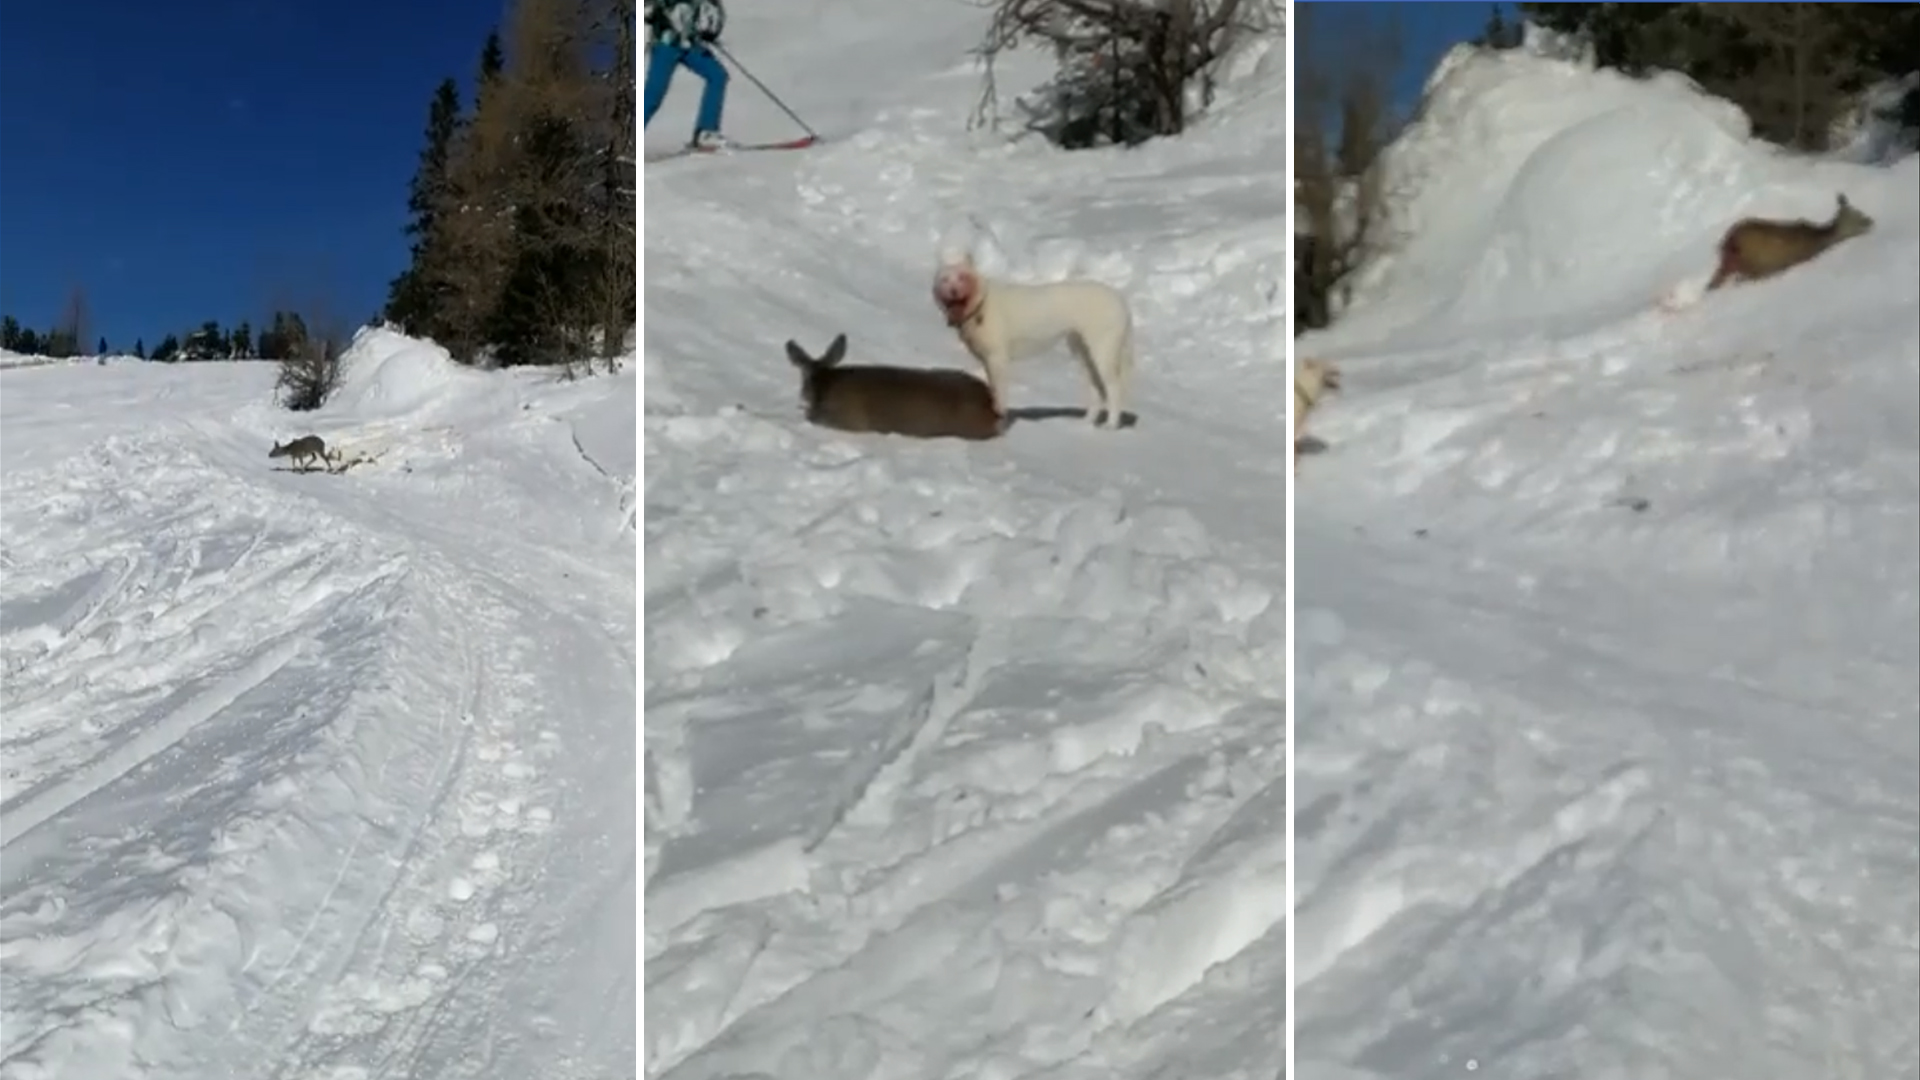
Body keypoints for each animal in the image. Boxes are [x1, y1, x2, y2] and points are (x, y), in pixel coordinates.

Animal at [933, 249, 1128, 426]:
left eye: (962, 277)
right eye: (945, 280)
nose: (953, 291)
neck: (982, 305)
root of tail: (1119, 300)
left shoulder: (998, 359)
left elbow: (1000, 392)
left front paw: (1001, 418)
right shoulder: (987, 360)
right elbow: (993, 389)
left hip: (1102, 351)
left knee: (1115, 388)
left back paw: (1111, 426)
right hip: (1082, 352)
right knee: (1097, 389)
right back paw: (1086, 424)